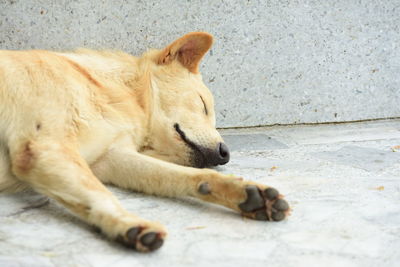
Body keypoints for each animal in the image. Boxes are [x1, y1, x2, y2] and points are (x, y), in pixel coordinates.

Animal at [0, 32, 290, 252]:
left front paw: (242, 192)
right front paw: (126, 224)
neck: (110, 91)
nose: (225, 153)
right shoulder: (45, 148)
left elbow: (182, 177)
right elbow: (101, 194)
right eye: (203, 104)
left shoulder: (109, 159)